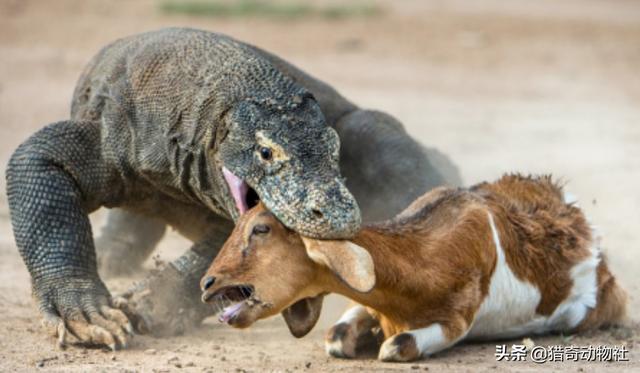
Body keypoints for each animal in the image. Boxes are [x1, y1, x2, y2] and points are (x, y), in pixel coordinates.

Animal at [200, 174, 624, 360]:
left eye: (261, 229)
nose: (207, 283)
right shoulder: (368, 303)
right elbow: (336, 336)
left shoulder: (455, 320)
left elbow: (397, 346)